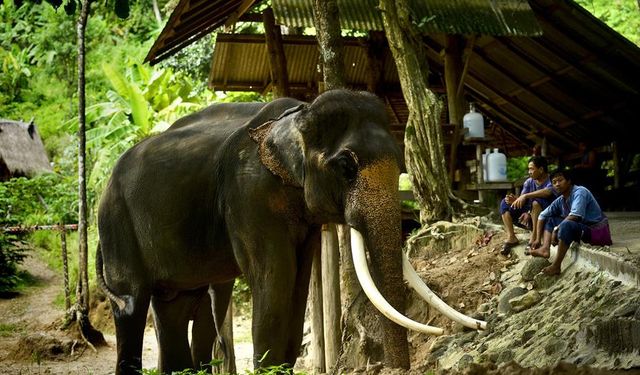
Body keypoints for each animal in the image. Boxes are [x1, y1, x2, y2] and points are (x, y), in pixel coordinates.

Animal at [96, 89, 484, 375]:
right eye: (346, 167)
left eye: (402, 164)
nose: (398, 370)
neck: (297, 114)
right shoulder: (249, 194)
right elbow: (274, 279)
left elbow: (297, 286)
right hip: (115, 223)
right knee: (132, 303)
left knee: (175, 305)